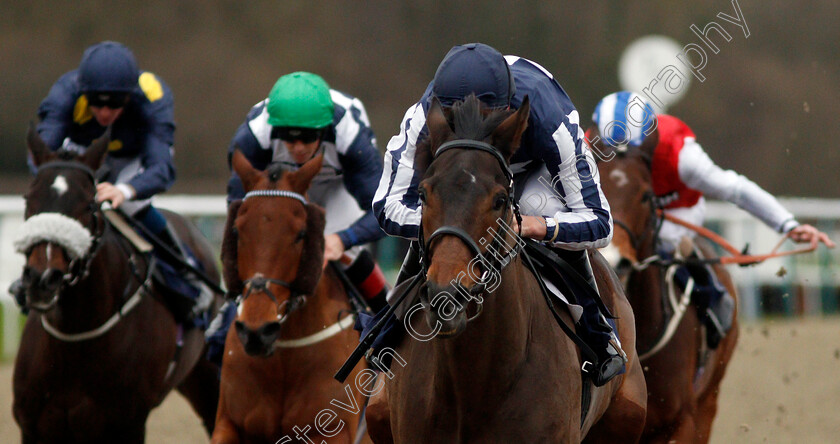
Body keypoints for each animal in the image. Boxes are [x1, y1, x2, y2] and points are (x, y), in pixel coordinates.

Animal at [14, 126, 223, 442]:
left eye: (89, 204)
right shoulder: (33, 426)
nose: (43, 278)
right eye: (28, 199)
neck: (74, 340)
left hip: (209, 375)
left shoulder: (127, 424)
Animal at [212, 150, 370, 444]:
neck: (284, 357)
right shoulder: (228, 423)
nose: (257, 332)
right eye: (236, 231)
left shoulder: (334, 430)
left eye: (301, 234)